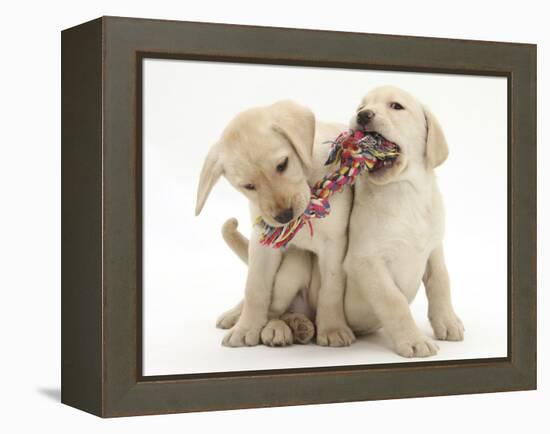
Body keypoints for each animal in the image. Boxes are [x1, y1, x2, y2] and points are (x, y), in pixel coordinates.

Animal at [196, 100, 356, 348]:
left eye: (283, 165)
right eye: (249, 186)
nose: (284, 216)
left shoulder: (335, 242)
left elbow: (332, 289)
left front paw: (333, 328)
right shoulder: (262, 245)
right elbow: (255, 288)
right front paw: (246, 327)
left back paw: (297, 327)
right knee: (273, 310)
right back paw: (263, 323)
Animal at [344, 86, 466, 358]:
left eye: (396, 106)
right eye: (361, 107)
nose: (363, 115)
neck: (404, 191)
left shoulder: (434, 248)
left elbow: (441, 281)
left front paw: (448, 321)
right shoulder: (365, 261)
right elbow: (394, 301)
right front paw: (414, 340)